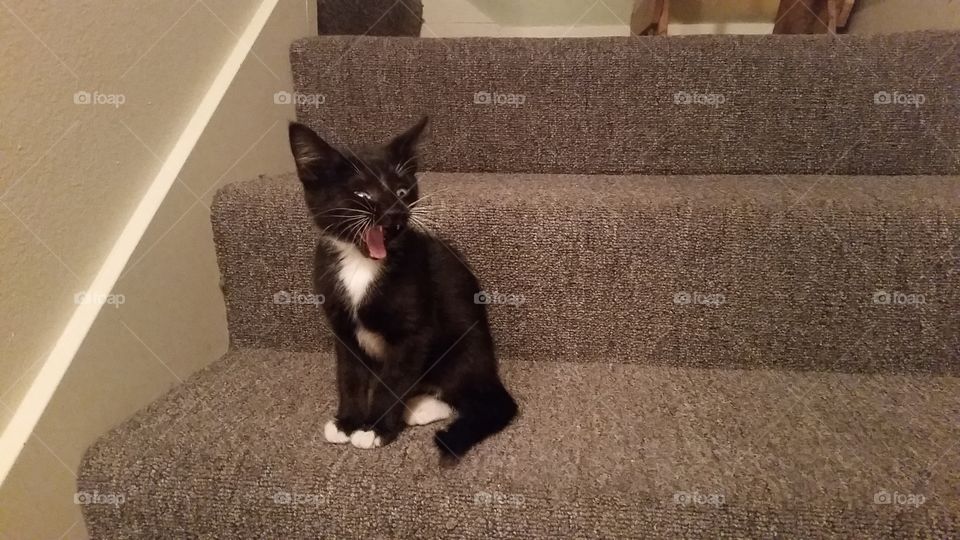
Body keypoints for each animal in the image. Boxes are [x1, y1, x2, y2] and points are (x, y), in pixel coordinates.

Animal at [286, 118, 516, 464]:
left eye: (402, 191)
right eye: (363, 193)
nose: (396, 212)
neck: (361, 264)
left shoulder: (415, 332)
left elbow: (393, 380)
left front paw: (375, 429)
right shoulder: (342, 328)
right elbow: (349, 376)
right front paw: (347, 422)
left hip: (462, 344)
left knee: (475, 396)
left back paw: (417, 408)